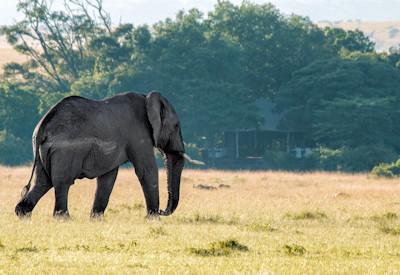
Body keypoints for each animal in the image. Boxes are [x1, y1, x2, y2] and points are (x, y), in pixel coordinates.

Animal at [15, 91, 203, 219]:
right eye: (176, 126)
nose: (163, 211)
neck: (147, 98)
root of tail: (42, 127)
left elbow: (108, 178)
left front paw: (96, 219)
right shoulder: (138, 134)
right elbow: (146, 170)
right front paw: (153, 218)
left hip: (42, 152)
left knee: (42, 182)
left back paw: (23, 214)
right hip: (65, 152)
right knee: (62, 182)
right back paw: (64, 219)